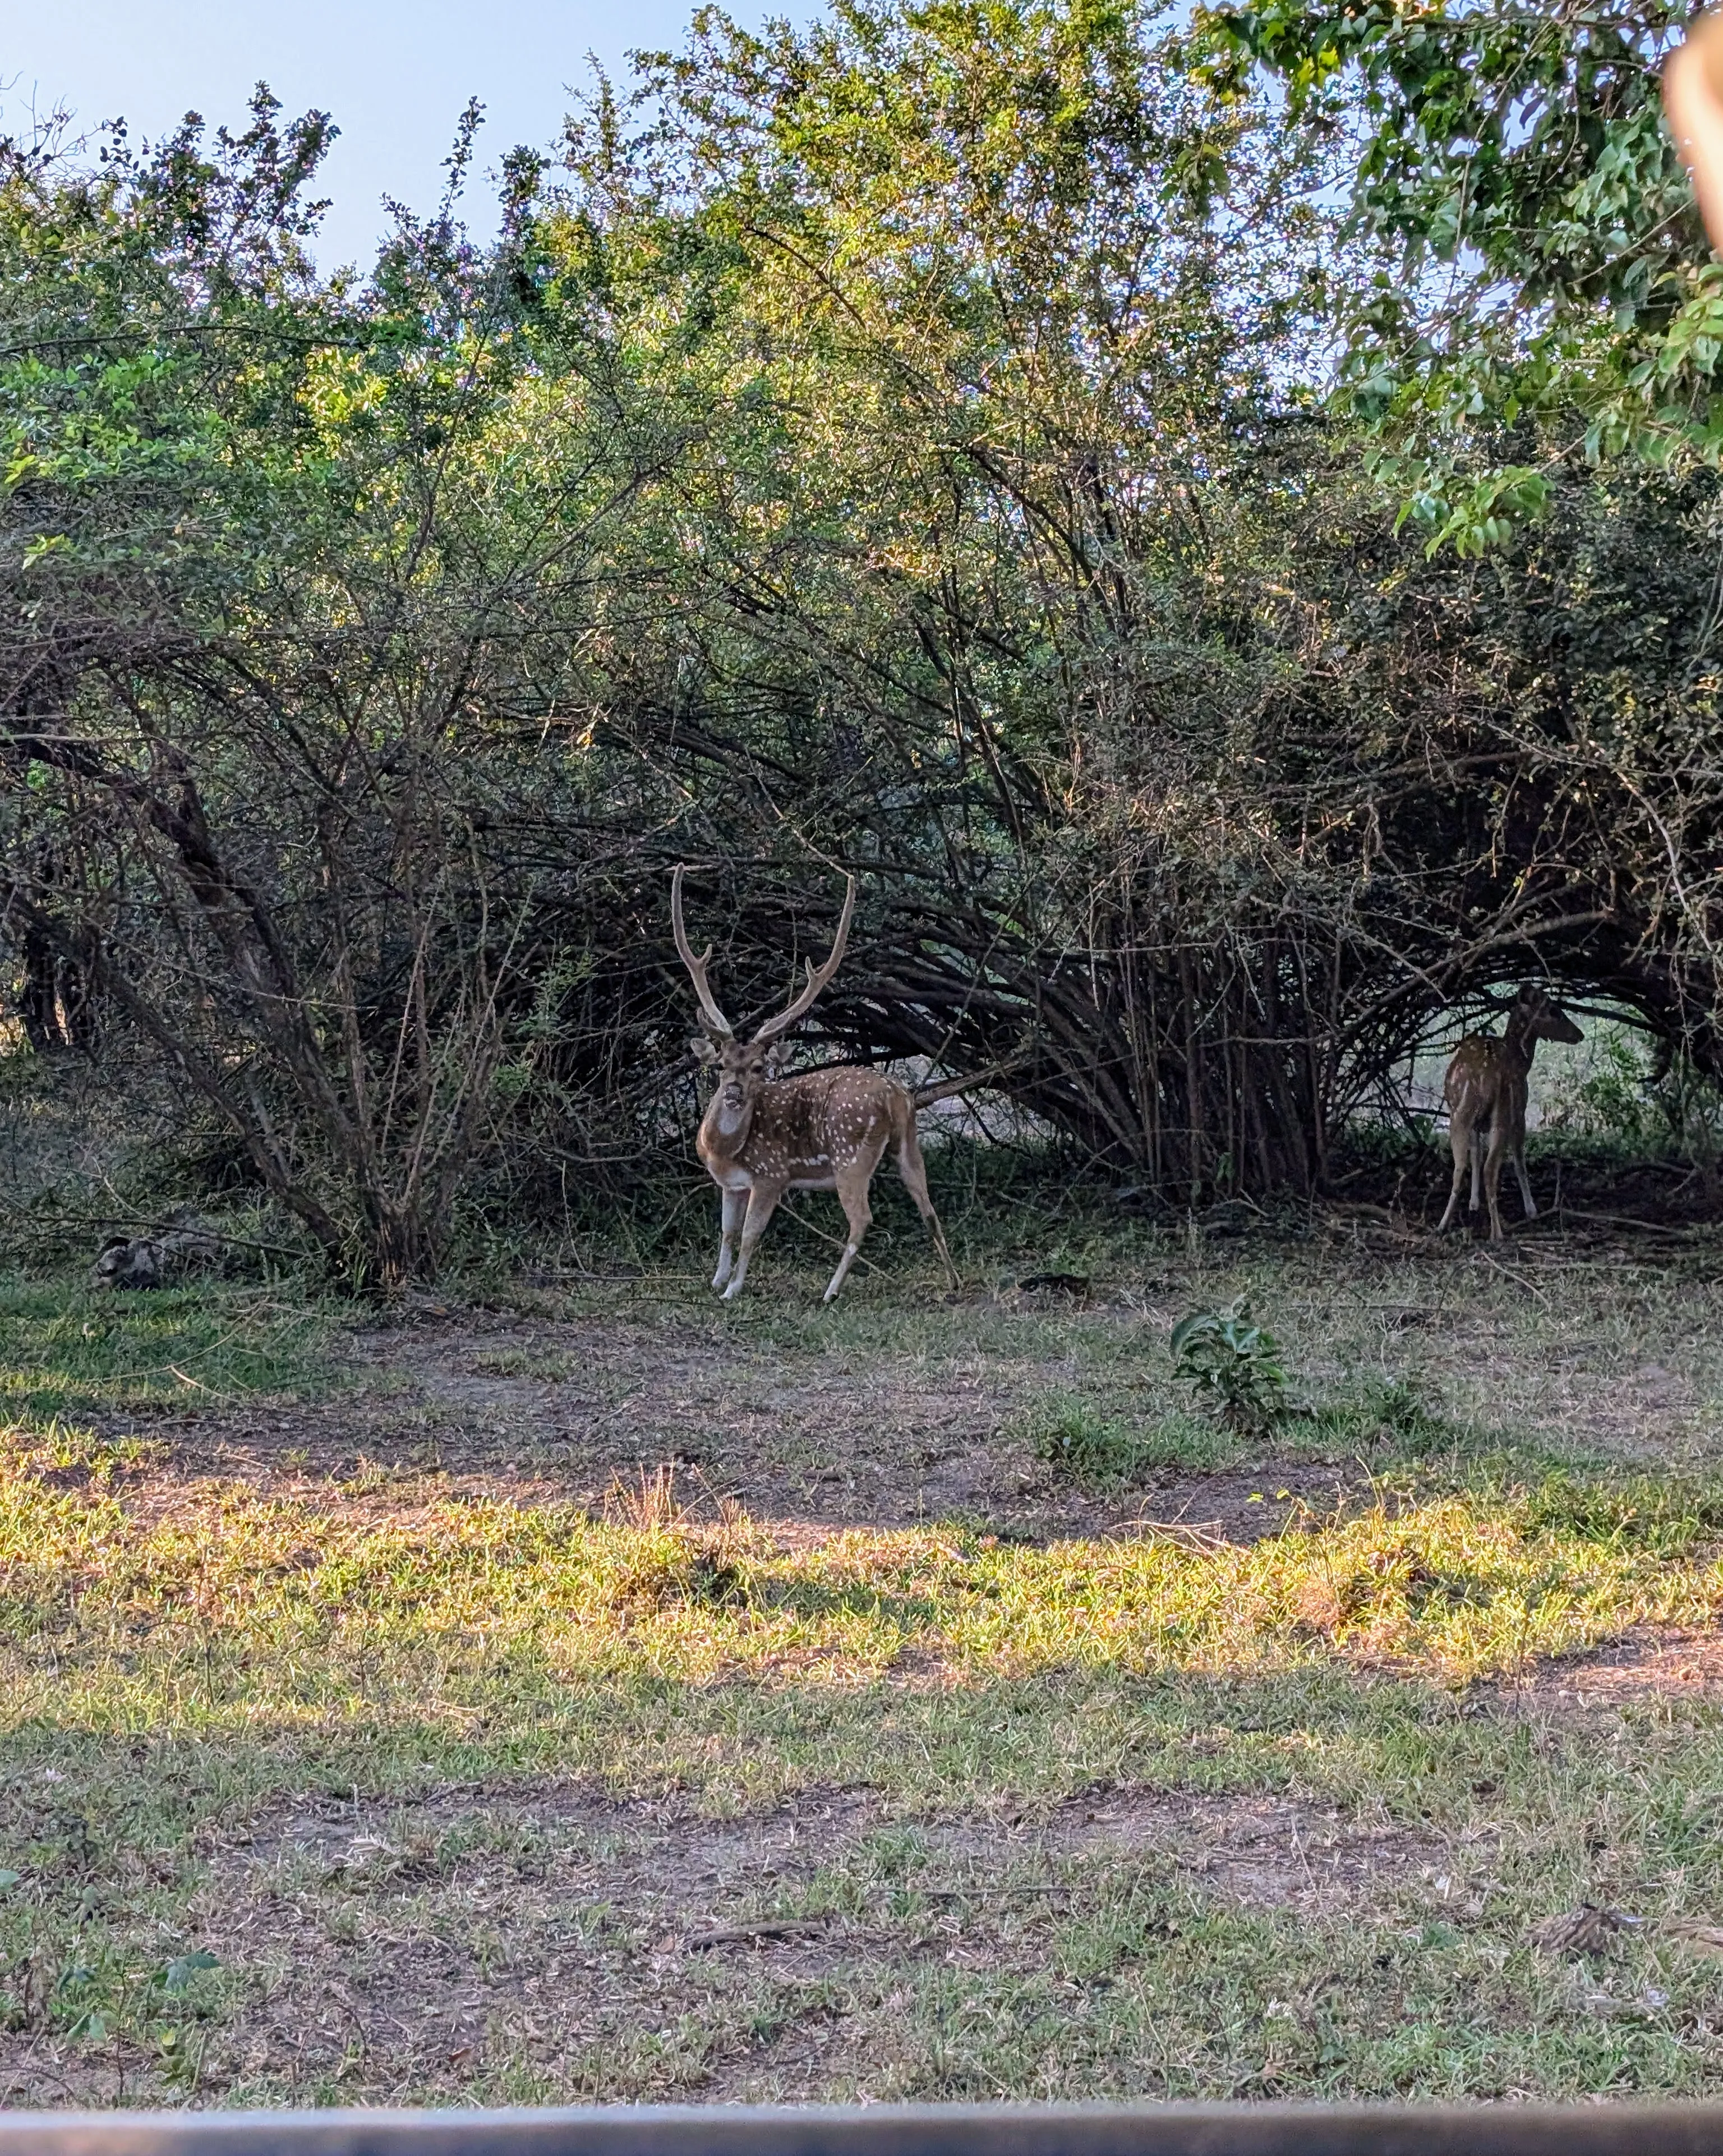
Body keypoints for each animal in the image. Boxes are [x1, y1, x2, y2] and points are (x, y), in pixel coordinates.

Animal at [672, 866, 960, 1303]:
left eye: (759, 1067)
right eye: (721, 1064)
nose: (735, 1093)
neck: (723, 1151)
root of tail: (897, 1097)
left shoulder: (770, 1174)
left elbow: (750, 1235)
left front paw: (733, 1289)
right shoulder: (732, 1185)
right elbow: (726, 1232)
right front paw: (717, 1279)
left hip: (850, 1155)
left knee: (863, 1218)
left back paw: (831, 1291)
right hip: (909, 1146)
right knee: (928, 1209)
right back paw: (953, 1281)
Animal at [1436, 984, 1583, 1240]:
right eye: (1554, 1010)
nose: (1579, 1034)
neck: (1522, 1059)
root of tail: (1485, 1076)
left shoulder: (1477, 1124)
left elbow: (1476, 1154)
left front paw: (1474, 1204)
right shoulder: (1521, 1112)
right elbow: (1519, 1160)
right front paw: (1532, 1210)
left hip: (1459, 1113)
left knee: (1460, 1166)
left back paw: (1443, 1225)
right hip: (1504, 1113)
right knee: (1491, 1167)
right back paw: (1497, 1233)